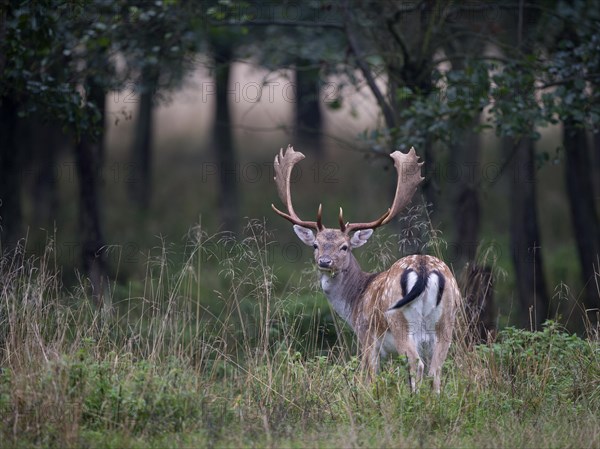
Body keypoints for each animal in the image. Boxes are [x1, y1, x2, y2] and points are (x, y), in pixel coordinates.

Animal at [274, 145, 462, 390]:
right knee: (435, 371)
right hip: (446, 321)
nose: (324, 261)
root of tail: (422, 268)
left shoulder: (367, 337)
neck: (354, 301)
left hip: (400, 322)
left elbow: (369, 376)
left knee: (417, 365)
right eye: (316, 245)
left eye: (344, 247)